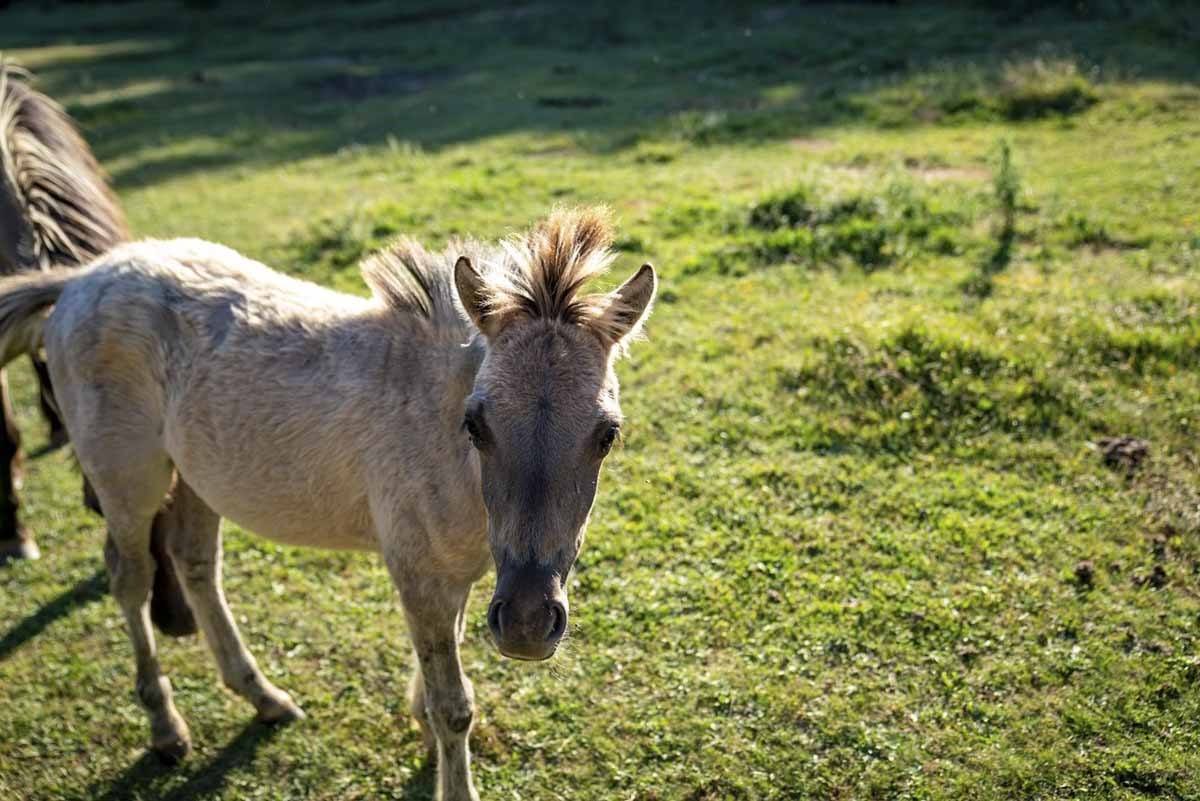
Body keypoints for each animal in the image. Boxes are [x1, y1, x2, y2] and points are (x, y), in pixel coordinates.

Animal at [0, 208, 657, 801]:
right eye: (476, 424)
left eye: (607, 434)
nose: (526, 625)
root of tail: (81, 281)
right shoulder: (420, 573)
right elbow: (454, 704)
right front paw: (448, 764)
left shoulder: (461, 575)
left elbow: (443, 663)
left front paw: (421, 727)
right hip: (128, 480)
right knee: (130, 578)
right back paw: (166, 728)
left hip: (195, 478)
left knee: (195, 565)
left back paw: (264, 698)